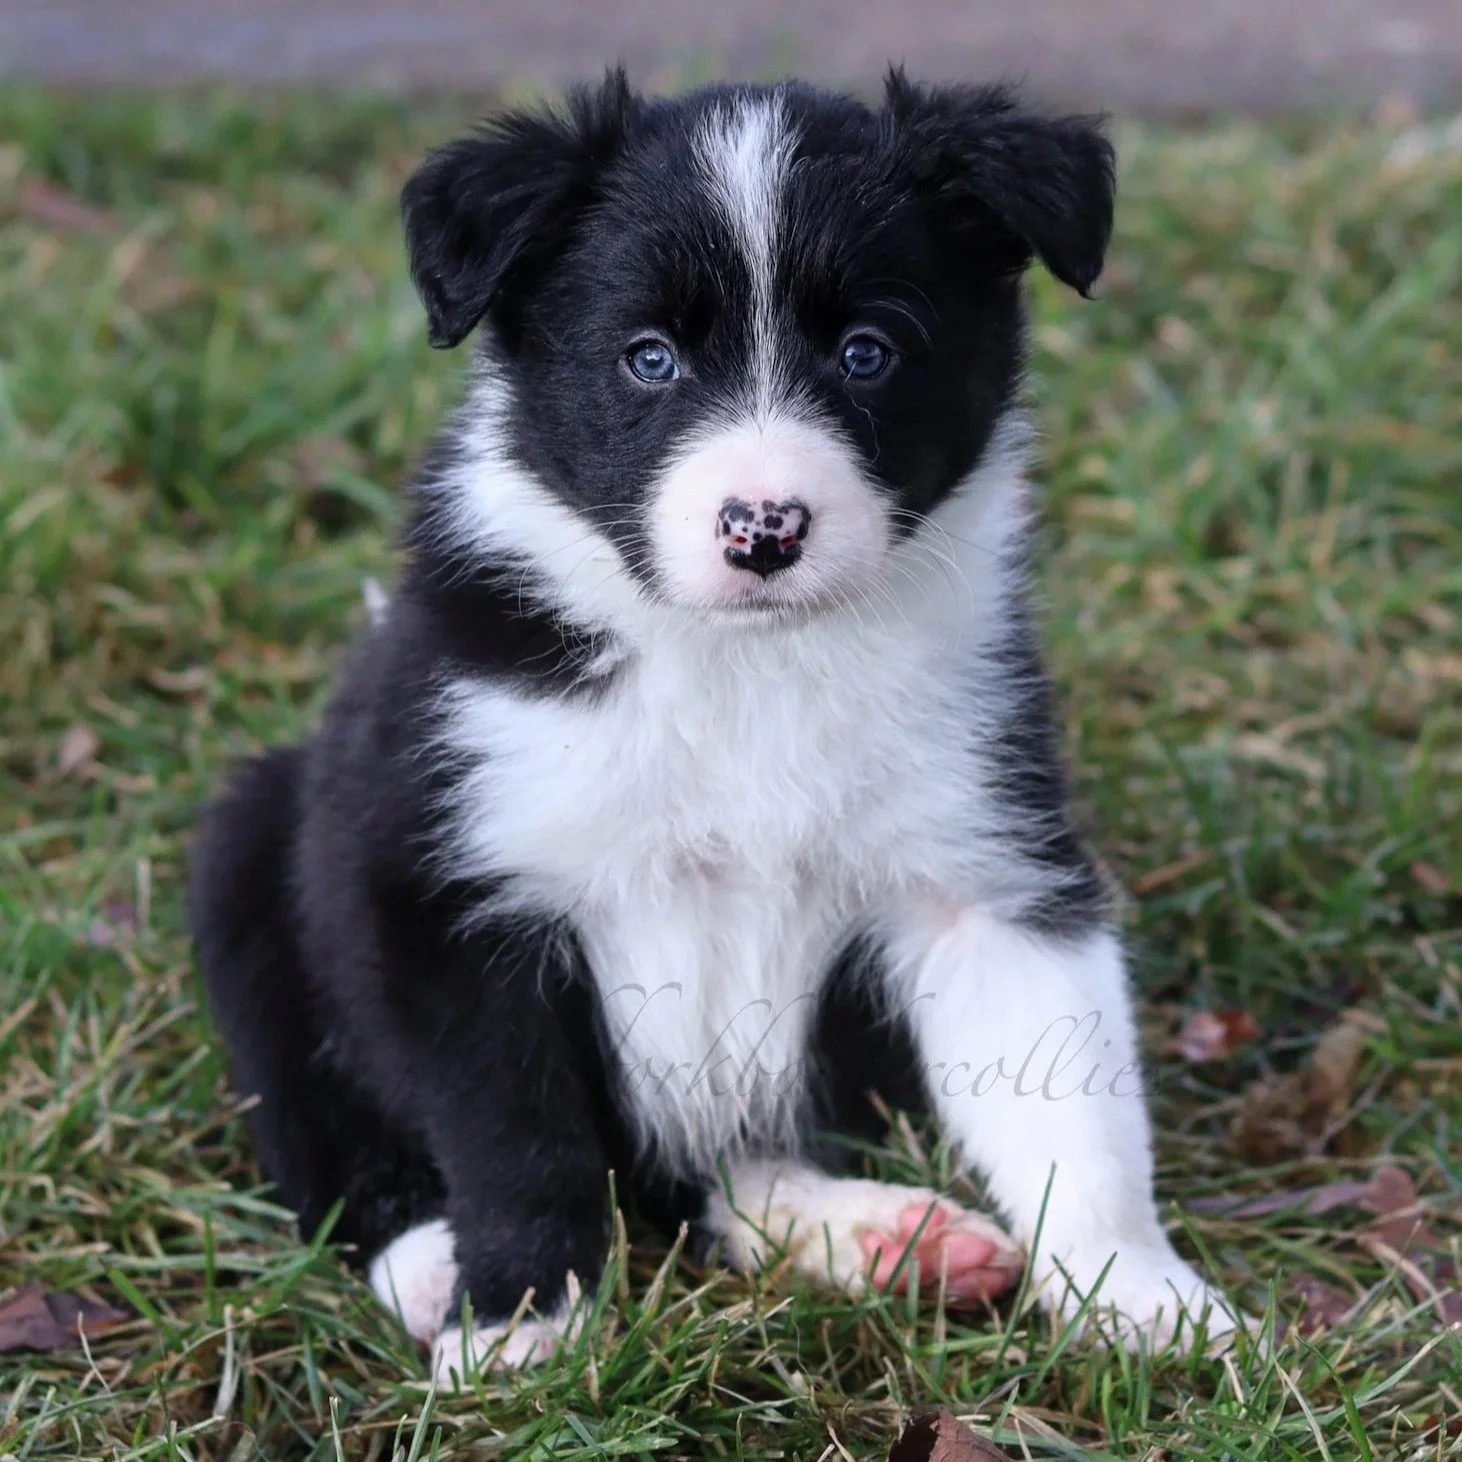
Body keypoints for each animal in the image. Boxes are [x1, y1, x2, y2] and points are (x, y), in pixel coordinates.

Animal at [189, 69, 1239, 1384]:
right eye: (647, 360)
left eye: (867, 352)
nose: (763, 527)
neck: (745, 660)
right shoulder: (445, 888)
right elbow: (512, 1131)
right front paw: (521, 1321)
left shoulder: (986, 865)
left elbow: (1072, 1103)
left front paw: (1140, 1295)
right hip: (249, 858)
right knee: (339, 1140)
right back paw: (431, 1263)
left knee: (703, 1168)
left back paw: (877, 1236)